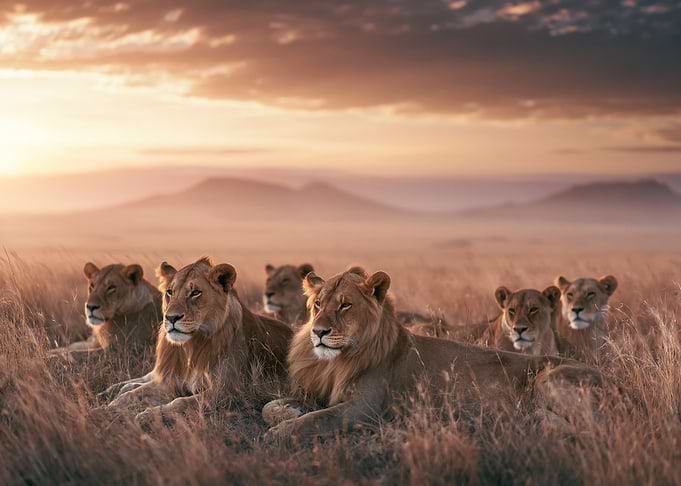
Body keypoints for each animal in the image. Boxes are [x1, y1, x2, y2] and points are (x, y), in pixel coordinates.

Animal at [105, 258, 292, 423]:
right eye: (170, 292)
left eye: (195, 293)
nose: (171, 318)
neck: (191, 347)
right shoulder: (171, 381)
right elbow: (130, 395)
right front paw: (107, 408)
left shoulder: (226, 391)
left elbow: (179, 402)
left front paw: (148, 414)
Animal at [263, 268, 601, 441]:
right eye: (318, 304)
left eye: (345, 305)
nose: (318, 331)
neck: (334, 362)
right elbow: (270, 406)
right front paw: (288, 413)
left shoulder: (363, 408)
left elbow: (315, 421)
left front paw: (280, 432)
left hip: (550, 378)